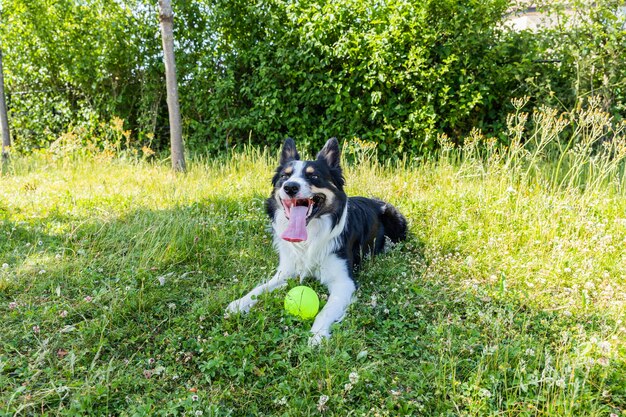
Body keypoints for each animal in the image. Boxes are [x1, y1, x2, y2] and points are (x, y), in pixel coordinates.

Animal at [227, 138, 408, 342]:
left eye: (313, 176)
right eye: (284, 176)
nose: (290, 187)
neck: (310, 236)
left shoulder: (344, 282)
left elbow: (325, 311)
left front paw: (316, 336)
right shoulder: (286, 271)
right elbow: (260, 288)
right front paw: (239, 303)